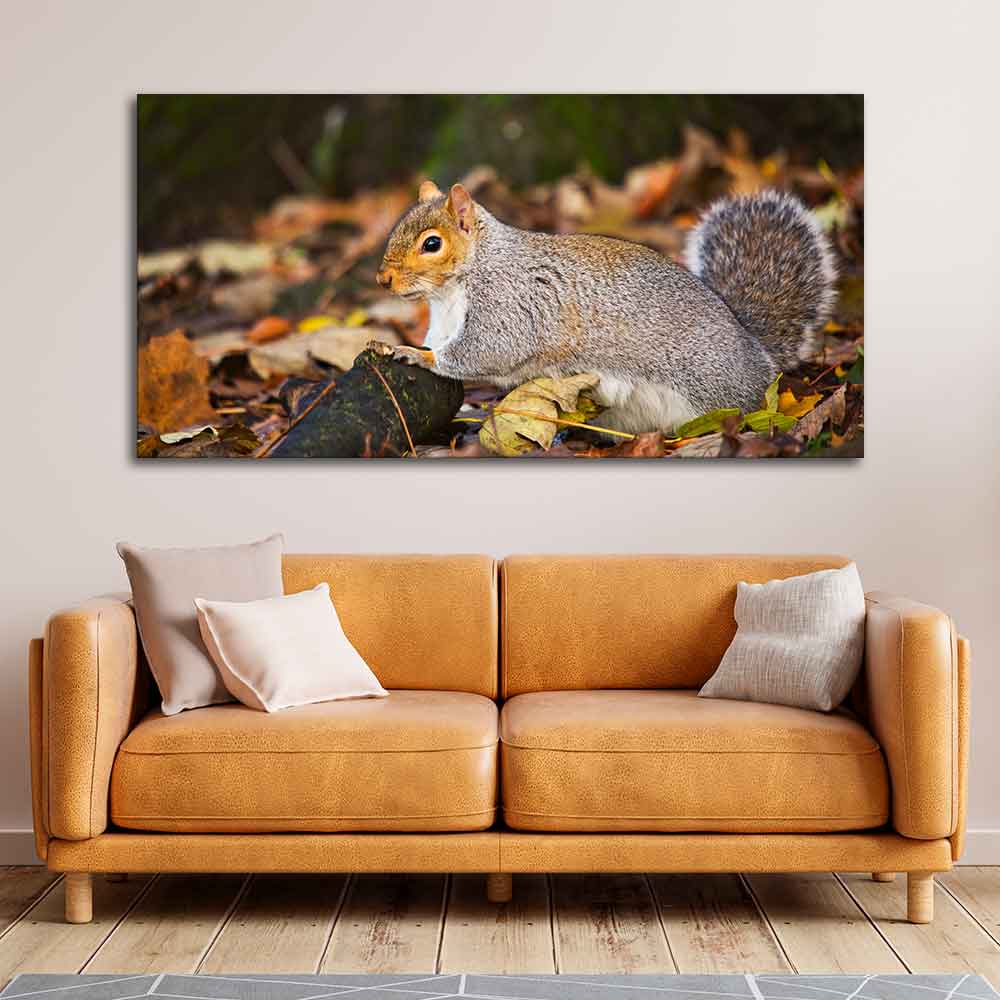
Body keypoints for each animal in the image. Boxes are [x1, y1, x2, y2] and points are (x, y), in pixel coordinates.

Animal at [376, 179, 837, 434]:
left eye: (431, 244)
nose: (383, 279)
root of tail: (756, 351)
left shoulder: (511, 302)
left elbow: (488, 350)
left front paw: (413, 353)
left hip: (717, 389)